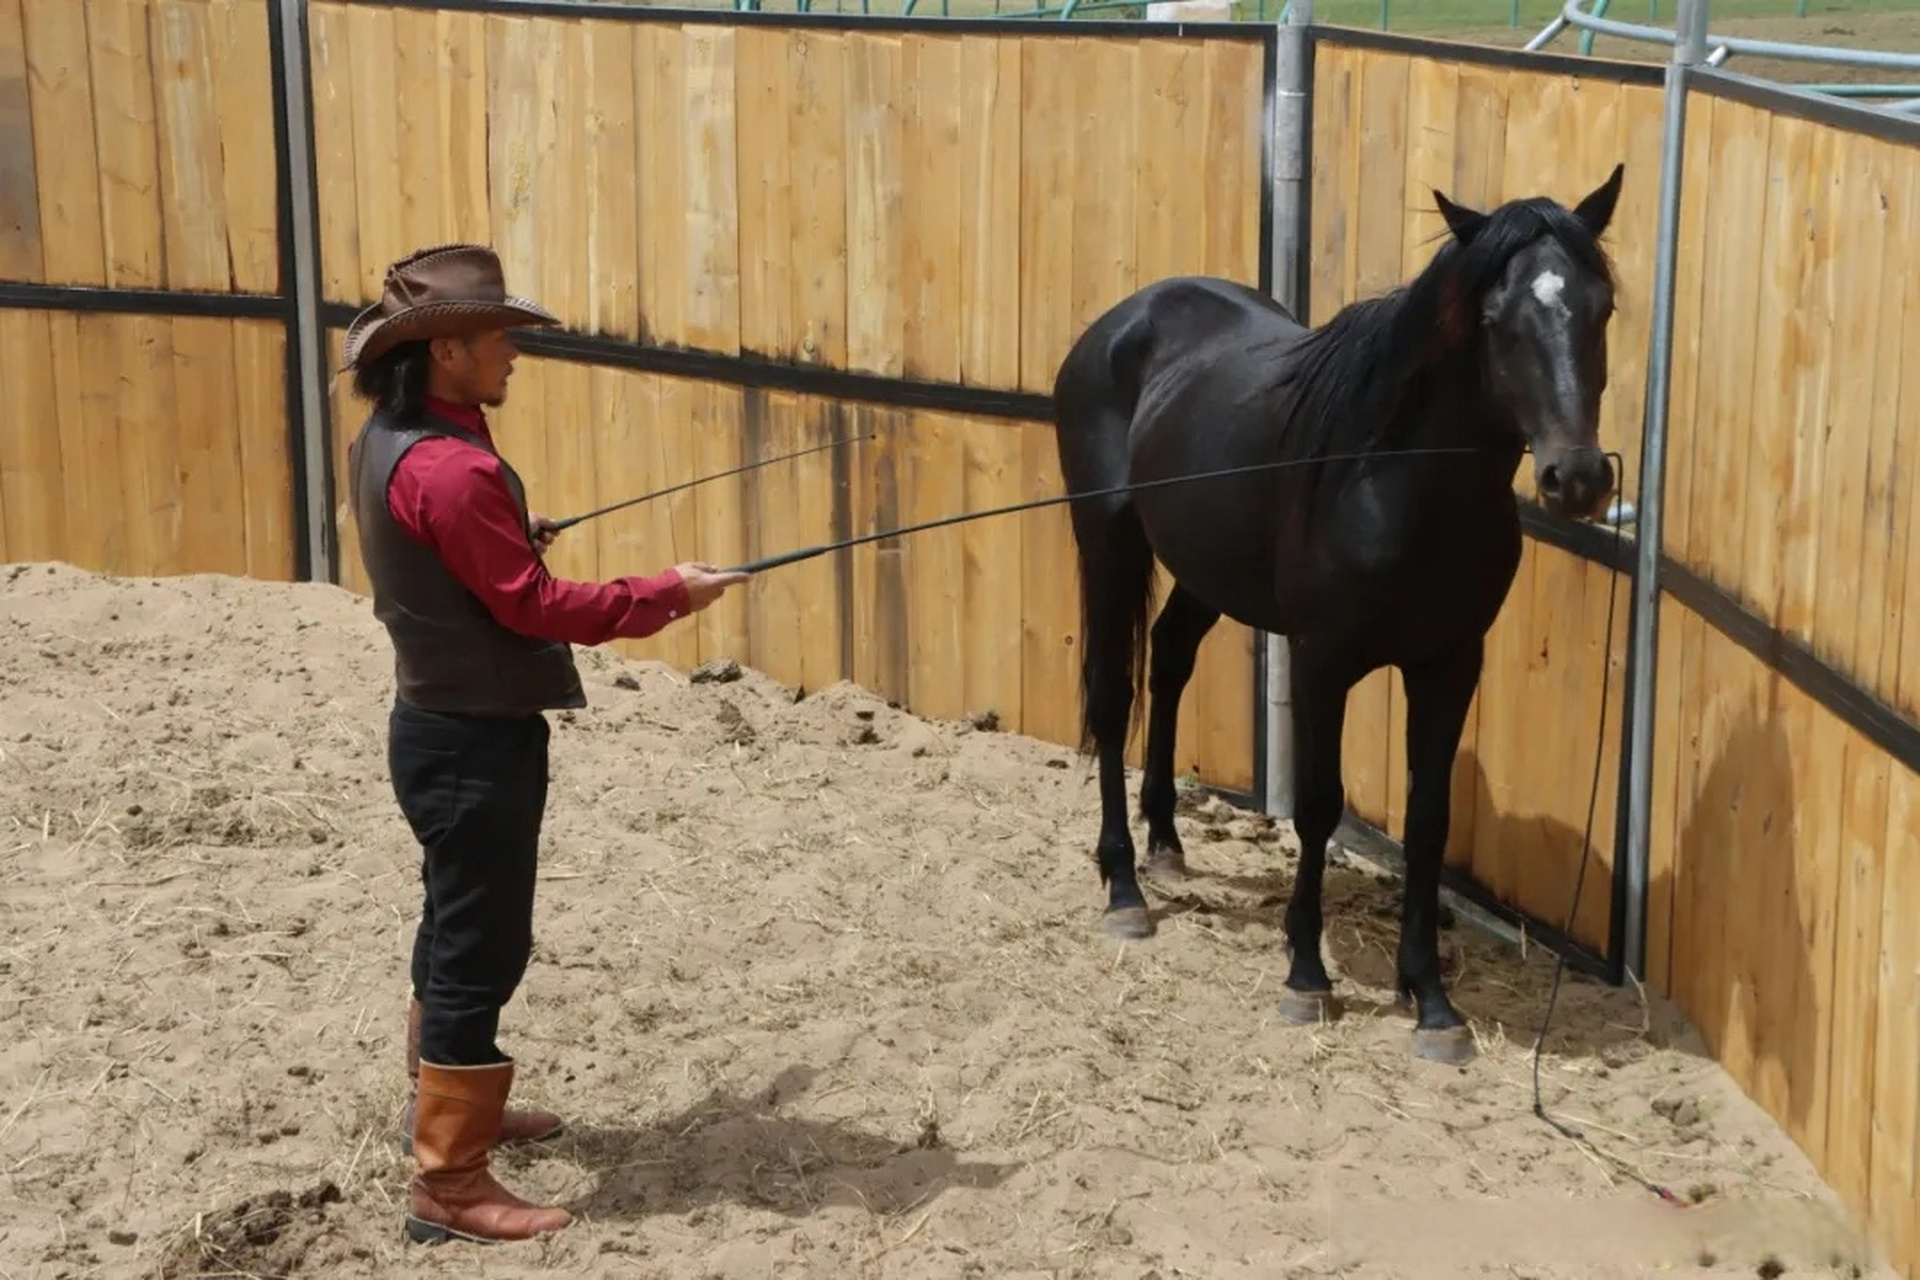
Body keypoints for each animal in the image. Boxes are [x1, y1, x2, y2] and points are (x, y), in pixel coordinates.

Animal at [1052, 163, 1620, 1059]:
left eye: (1602, 309)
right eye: (1495, 320)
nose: (1580, 479)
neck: (1399, 481)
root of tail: (1122, 321)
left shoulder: (1450, 662)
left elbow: (1428, 819)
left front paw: (1430, 999)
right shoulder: (1324, 658)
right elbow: (1319, 805)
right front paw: (1307, 976)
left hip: (1206, 571)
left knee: (1170, 661)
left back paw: (1167, 846)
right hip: (1108, 540)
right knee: (1113, 698)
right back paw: (1124, 889)